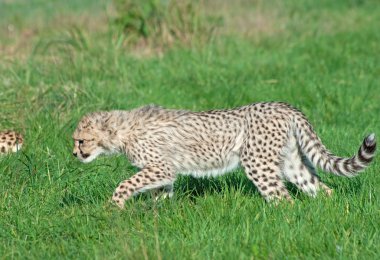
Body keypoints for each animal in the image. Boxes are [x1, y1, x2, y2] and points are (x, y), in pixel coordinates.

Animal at [72, 102, 378, 208]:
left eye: (81, 140)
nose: (74, 153)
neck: (121, 130)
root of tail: (284, 105)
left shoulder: (161, 167)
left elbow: (126, 183)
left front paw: (115, 207)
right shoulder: (164, 171)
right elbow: (161, 192)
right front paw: (158, 211)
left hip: (256, 162)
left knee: (283, 197)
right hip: (290, 162)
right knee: (319, 189)